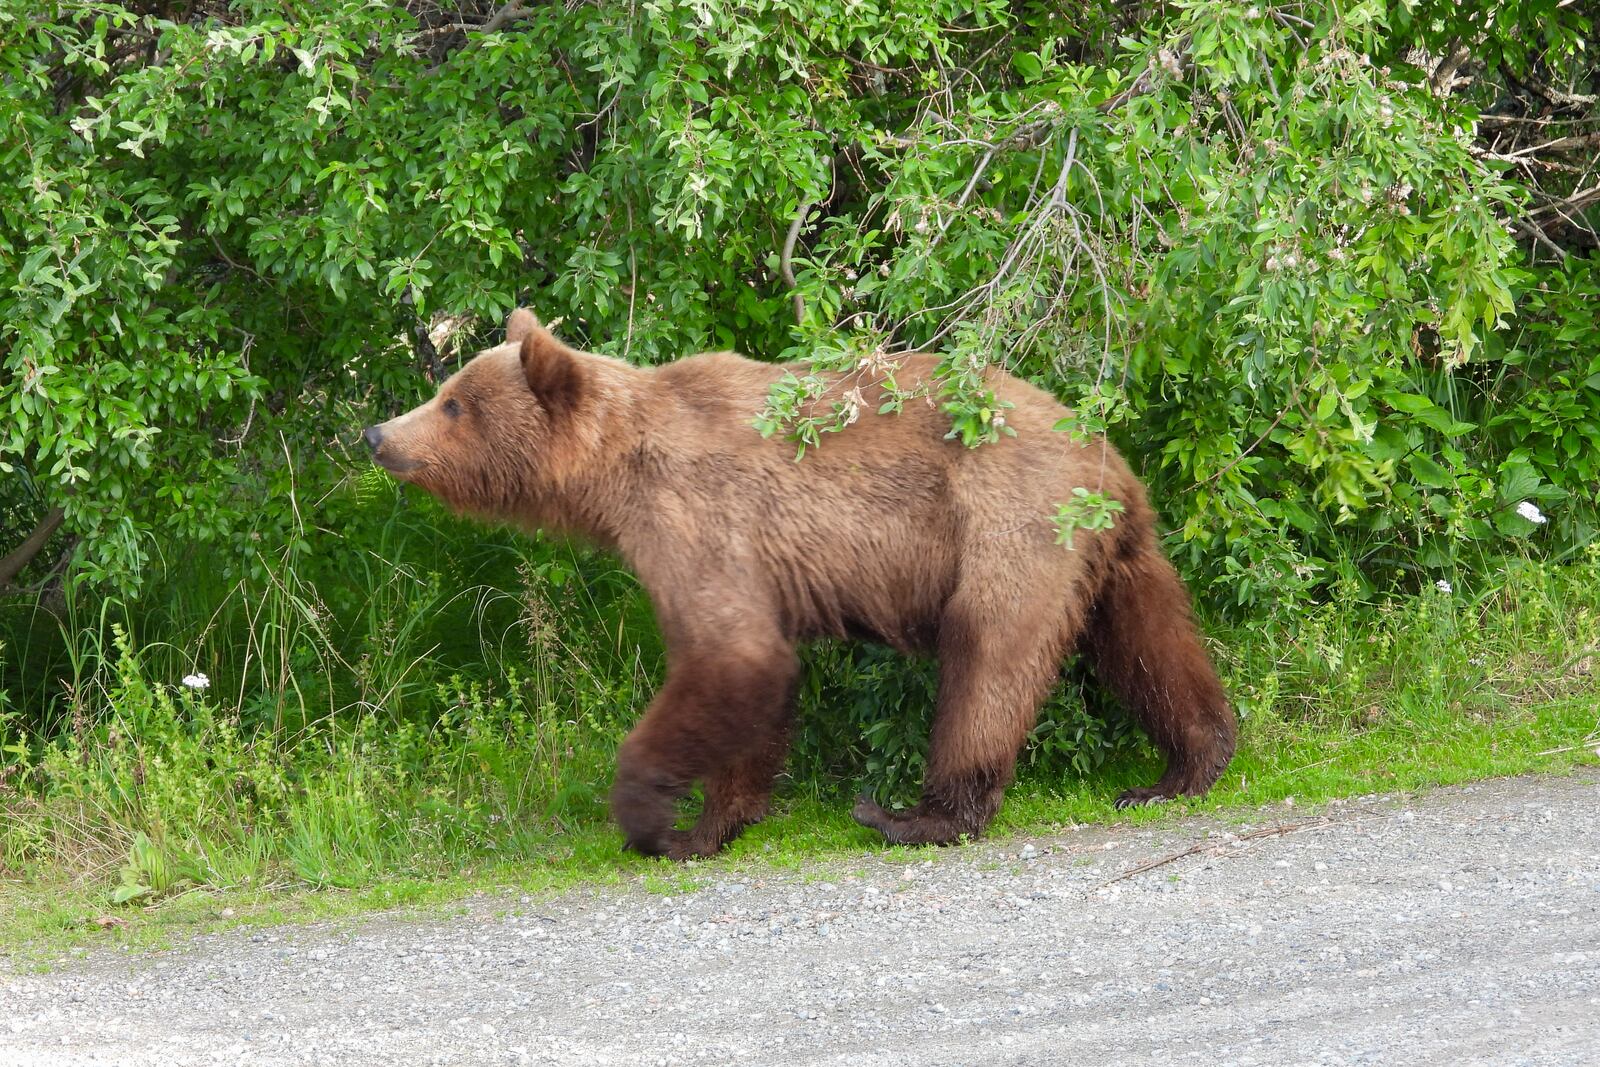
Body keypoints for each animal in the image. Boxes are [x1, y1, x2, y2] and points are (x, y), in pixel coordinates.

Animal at [366, 308, 1235, 857]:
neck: (613, 475)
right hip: (1114, 547)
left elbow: (733, 656)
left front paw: (651, 818)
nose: (378, 433)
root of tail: (1098, 454)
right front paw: (716, 822)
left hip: (1006, 526)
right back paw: (1182, 767)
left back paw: (915, 813)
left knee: (989, 659)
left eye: (453, 402)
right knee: (1148, 640)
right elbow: (757, 680)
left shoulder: (696, 517)